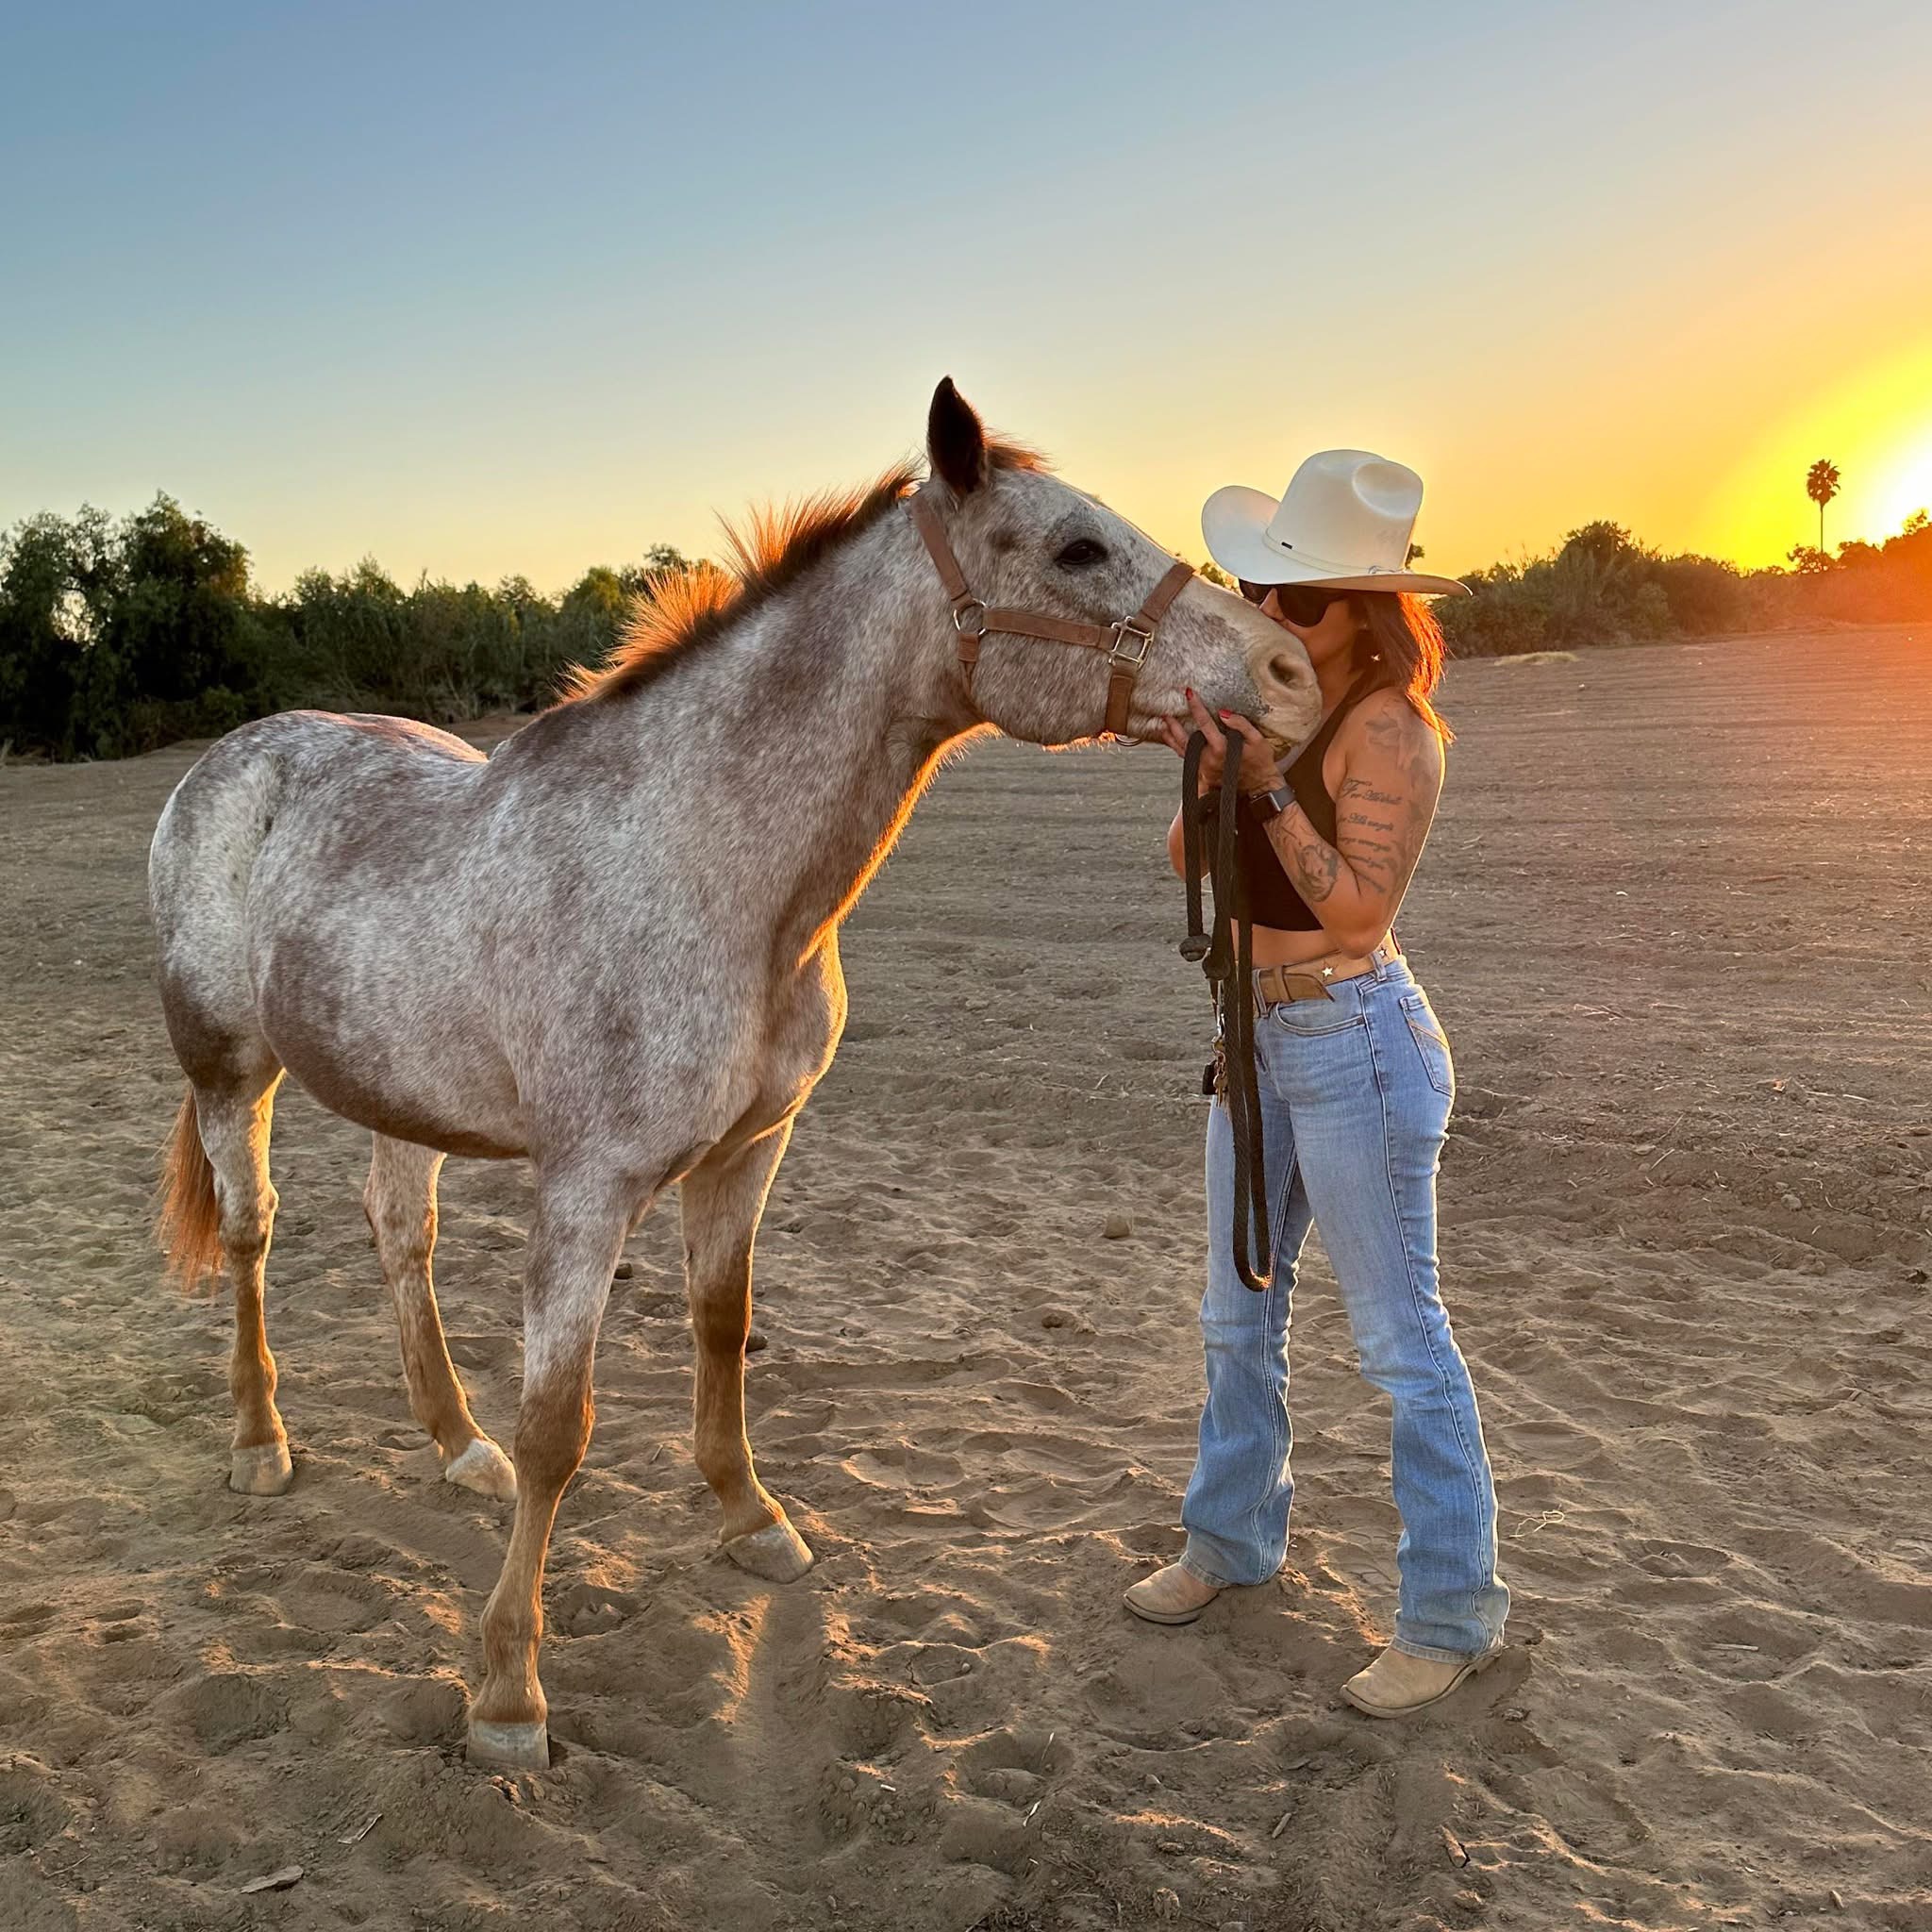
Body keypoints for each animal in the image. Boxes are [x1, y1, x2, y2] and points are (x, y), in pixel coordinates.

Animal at [147, 378, 1321, 1768]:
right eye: (1077, 547)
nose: (1291, 673)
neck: (709, 869)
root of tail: (230, 760)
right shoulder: (587, 1189)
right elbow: (561, 1427)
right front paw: (507, 1688)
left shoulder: (752, 1150)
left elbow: (721, 1326)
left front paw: (750, 1516)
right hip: (230, 1072)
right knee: (253, 1235)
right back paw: (260, 1441)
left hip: (397, 1091)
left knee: (398, 1234)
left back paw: (453, 1444)